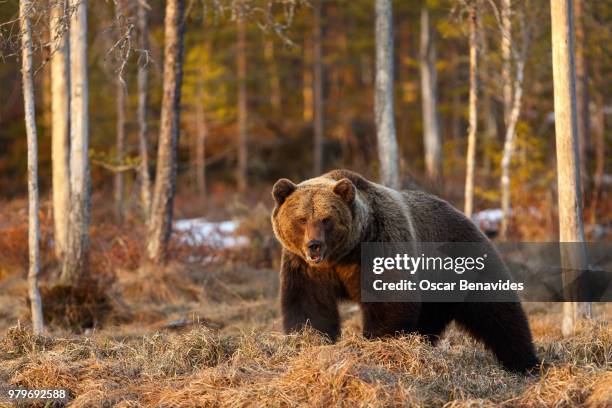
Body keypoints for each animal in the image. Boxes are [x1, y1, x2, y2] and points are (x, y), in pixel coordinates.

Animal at [270, 169, 536, 372]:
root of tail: (467, 216)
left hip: (465, 262)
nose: (314, 245)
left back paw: (524, 363)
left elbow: (389, 300)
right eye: (301, 219)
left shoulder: (380, 244)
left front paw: (377, 345)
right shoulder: (306, 267)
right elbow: (310, 306)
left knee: (499, 314)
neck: (343, 254)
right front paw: (309, 341)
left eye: (327, 219)